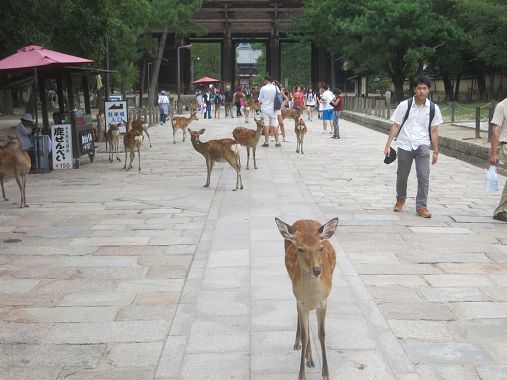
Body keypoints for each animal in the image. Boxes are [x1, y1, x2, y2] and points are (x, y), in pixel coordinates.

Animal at [276, 217, 340, 380]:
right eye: (300, 249)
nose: (317, 270)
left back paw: (310, 358)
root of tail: (304, 219)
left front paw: (326, 374)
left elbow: (322, 334)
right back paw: (302, 349)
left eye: (321, 248)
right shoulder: (301, 300)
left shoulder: (323, 301)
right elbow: (305, 336)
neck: (312, 294)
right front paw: (301, 375)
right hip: (293, 286)